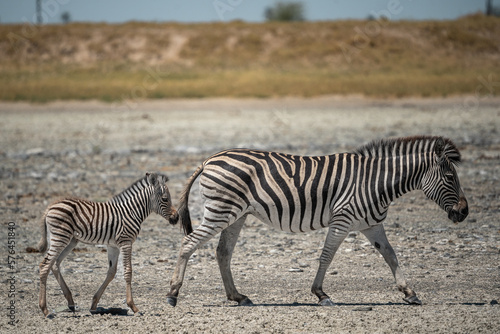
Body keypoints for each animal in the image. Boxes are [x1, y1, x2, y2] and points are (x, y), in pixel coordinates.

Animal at [38, 174, 180, 318]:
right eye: (165, 199)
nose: (177, 217)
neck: (132, 212)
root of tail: (50, 207)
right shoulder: (126, 242)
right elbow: (128, 271)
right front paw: (133, 307)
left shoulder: (113, 246)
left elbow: (111, 272)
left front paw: (94, 304)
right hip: (60, 237)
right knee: (45, 265)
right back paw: (45, 310)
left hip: (70, 240)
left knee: (55, 264)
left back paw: (70, 303)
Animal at [168, 136, 468, 308]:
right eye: (450, 178)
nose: (464, 212)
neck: (376, 182)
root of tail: (209, 160)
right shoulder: (342, 219)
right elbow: (327, 255)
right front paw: (320, 294)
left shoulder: (371, 224)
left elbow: (391, 255)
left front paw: (409, 292)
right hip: (221, 210)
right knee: (188, 243)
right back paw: (173, 293)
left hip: (236, 215)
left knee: (223, 252)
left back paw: (237, 297)